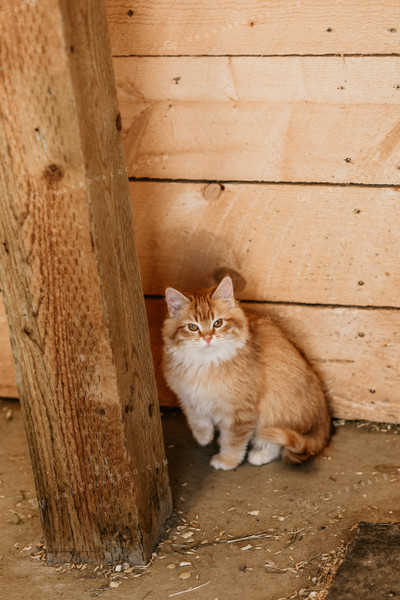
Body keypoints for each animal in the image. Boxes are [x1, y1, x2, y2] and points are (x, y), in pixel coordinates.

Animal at [161, 276, 330, 468]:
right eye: (192, 327)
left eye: (218, 323)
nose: (208, 338)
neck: (206, 364)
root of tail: (324, 417)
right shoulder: (188, 396)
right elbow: (197, 419)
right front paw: (204, 437)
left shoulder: (241, 412)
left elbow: (233, 441)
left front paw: (227, 460)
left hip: (274, 411)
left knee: (276, 443)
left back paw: (260, 455)